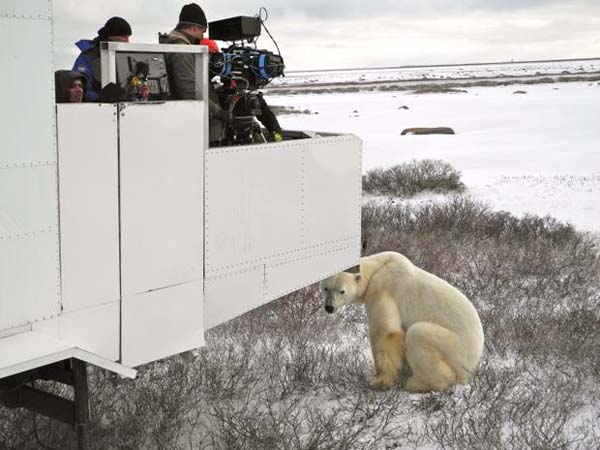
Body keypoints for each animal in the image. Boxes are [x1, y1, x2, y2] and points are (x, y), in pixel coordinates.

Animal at [324, 251, 482, 392]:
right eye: (326, 288)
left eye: (342, 291)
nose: (329, 307)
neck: (377, 267)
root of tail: (474, 360)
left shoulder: (382, 287)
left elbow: (385, 332)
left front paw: (380, 382)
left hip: (456, 349)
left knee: (417, 334)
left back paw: (416, 383)